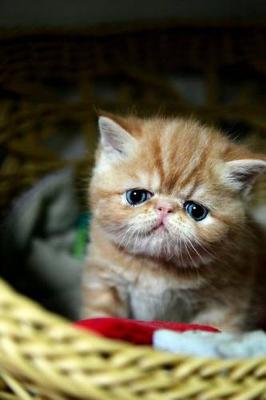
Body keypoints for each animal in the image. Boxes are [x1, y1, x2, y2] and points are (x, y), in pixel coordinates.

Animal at [82, 112, 266, 332]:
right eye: (136, 196)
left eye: (196, 210)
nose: (165, 208)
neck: (156, 268)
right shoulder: (103, 281)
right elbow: (99, 316)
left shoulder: (227, 301)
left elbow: (217, 329)